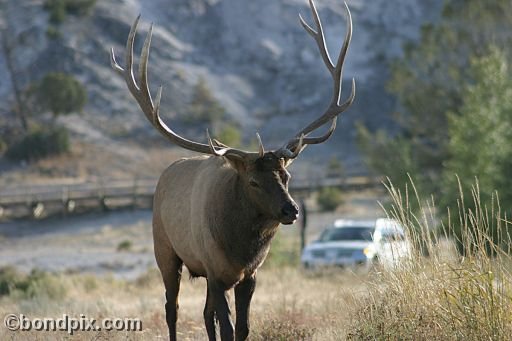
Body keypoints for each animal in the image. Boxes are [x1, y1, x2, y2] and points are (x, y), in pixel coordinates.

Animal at [110, 0, 354, 338]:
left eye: (286, 175)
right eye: (253, 181)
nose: (291, 209)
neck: (240, 248)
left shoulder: (248, 275)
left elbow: (242, 328)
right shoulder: (215, 270)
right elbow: (226, 328)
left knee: (204, 313)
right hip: (165, 251)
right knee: (172, 308)